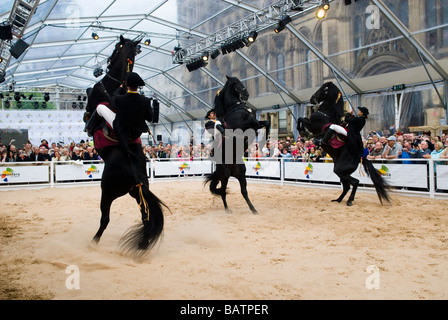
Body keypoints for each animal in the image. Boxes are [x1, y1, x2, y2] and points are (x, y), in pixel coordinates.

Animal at [84, 35, 164, 258]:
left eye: (115, 48)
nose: (108, 62)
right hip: (137, 193)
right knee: (146, 218)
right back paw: (143, 244)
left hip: (107, 192)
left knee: (105, 219)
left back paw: (93, 242)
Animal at [206, 76, 270, 214]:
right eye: (235, 83)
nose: (246, 94)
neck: (235, 108)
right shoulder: (240, 126)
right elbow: (254, 122)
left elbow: (265, 122)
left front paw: (264, 143)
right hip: (225, 176)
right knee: (223, 192)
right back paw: (227, 210)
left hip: (241, 175)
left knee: (244, 192)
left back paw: (254, 210)